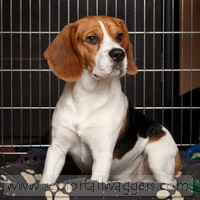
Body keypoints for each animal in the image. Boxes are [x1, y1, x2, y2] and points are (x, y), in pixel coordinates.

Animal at [40, 15, 181, 184]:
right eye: (92, 38)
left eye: (119, 36)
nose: (119, 54)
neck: (88, 95)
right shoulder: (57, 149)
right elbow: (46, 180)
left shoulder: (102, 153)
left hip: (157, 155)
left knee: (170, 183)